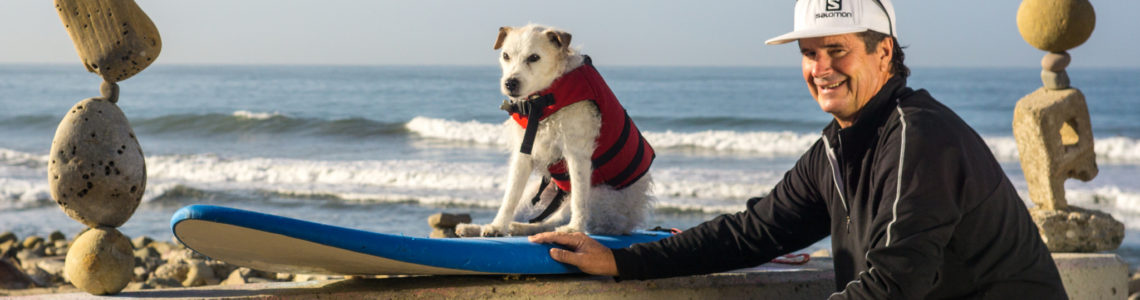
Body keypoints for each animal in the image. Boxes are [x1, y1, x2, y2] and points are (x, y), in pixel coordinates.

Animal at [451, 24, 652, 237]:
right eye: (506, 55)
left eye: (534, 57)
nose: (510, 83)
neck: (542, 99)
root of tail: (629, 221)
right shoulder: (523, 154)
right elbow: (510, 196)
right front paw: (497, 226)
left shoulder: (577, 154)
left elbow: (579, 198)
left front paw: (575, 229)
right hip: (534, 193)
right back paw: (481, 227)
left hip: (599, 195)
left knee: (552, 222)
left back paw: (533, 228)